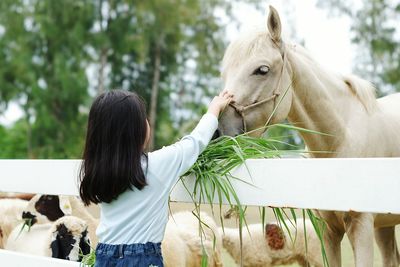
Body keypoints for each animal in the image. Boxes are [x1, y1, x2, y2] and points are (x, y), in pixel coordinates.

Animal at [219, 5, 400, 267]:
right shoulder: (328, 231)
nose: (220, 129)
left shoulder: (361, 227)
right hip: (384, 225)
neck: (339, 139)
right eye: (225, 74)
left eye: (262, 70)